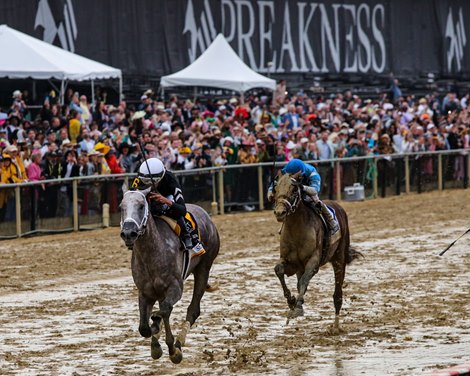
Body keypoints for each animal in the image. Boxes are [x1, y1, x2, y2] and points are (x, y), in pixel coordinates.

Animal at [119, 187, 218, 362]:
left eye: (141, 206)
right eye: (121, 207)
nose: (128, 233)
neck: (152, 253)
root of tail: (206, 215)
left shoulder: (175, 287)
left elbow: (164, 311)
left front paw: (173, 350)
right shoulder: (145, 292)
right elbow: (144, 327)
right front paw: (155, 342)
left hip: (204, 267)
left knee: (193, 309)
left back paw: (179, 341)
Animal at [272, 172, 360, 330]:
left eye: (294, 189)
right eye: (276, 189)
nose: (280, 212)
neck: (296, 229)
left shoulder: (313, 262)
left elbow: (304, 281)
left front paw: (297, 307)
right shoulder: (291, 263)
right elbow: (279, 270)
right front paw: (291, 301)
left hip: (339, 258)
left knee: (337, 294)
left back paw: (335, 326)